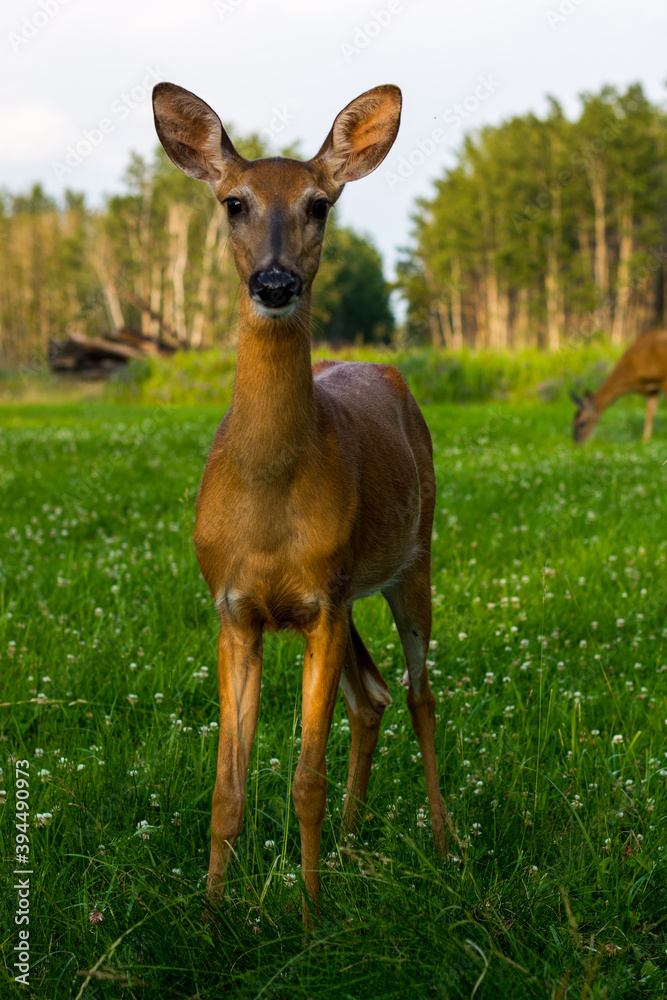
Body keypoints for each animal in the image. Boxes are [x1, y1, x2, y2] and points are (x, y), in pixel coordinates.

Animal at [152, 82, 448, 924]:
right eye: (233, 203)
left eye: (319, 204)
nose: (276, 283)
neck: (270, 497)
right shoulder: (235, 608)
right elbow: (226, 787)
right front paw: (212, 916)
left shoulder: (322, 601)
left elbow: (304, 781)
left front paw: (314, 920)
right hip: (352, 595)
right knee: (371, 696)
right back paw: (350, 845)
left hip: (413, 557)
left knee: (418, 693)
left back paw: (444, 843)